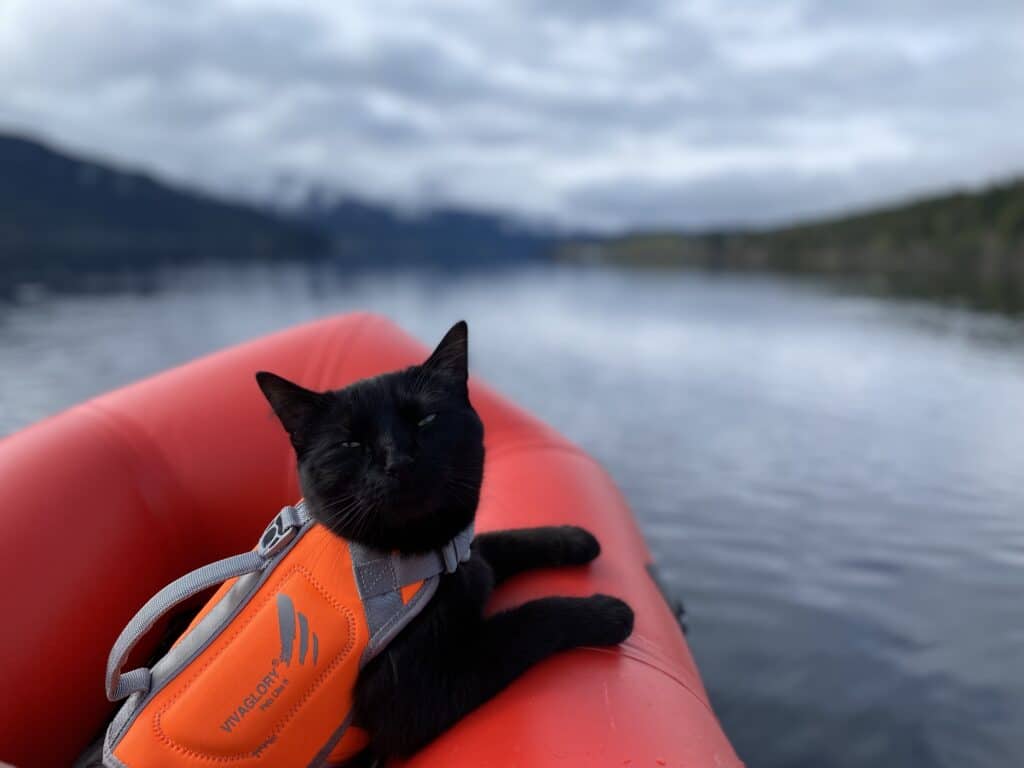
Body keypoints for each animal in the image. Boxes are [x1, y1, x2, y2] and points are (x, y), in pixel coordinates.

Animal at [256, 319, 630, 765]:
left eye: (426, 420)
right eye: (350, 444)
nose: (398, 461)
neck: (421, 557)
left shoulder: (462, 554)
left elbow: (496, 542)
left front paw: (576, 538)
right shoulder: (422, 698)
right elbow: (528, 620)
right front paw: (606, 612)